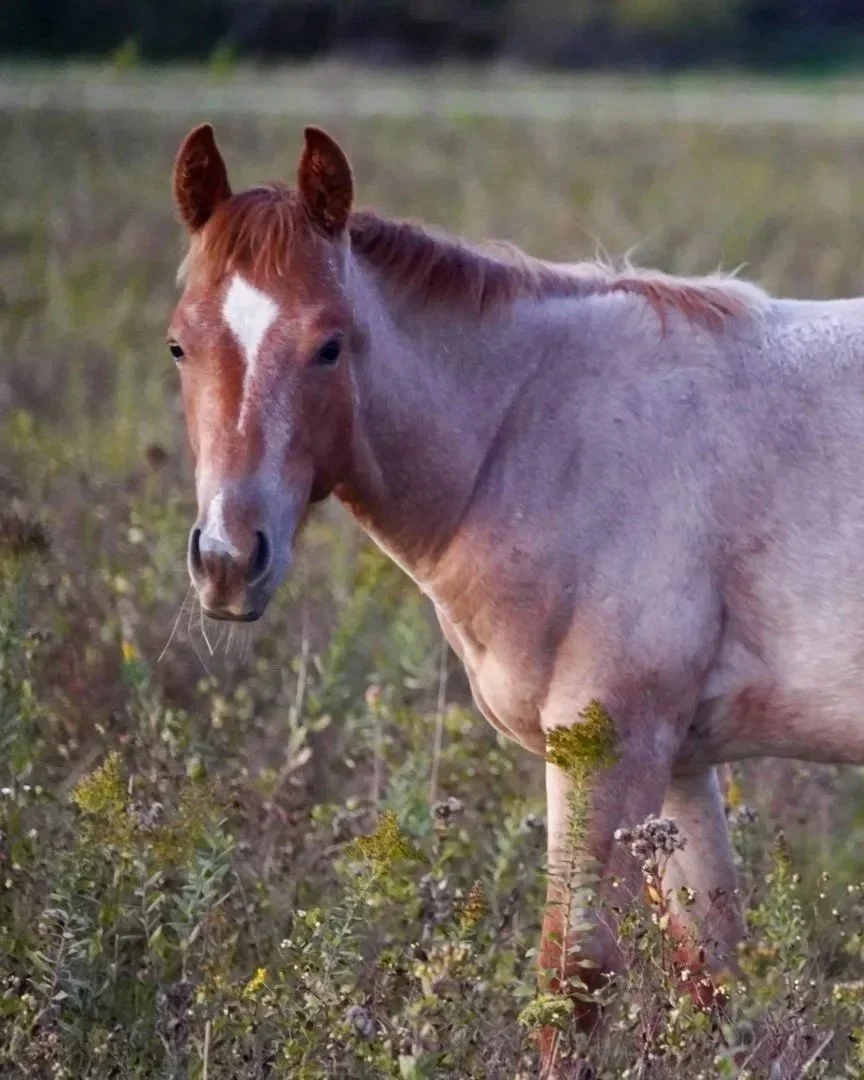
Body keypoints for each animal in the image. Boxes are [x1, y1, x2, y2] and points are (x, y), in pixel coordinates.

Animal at [166, 121, 864, 1077]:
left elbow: (573, 981)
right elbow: (711, 974)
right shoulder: (682, 760)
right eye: (179, 345)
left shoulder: (607, 752)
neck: (537, 432)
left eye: (330, 345)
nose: (230, 560)